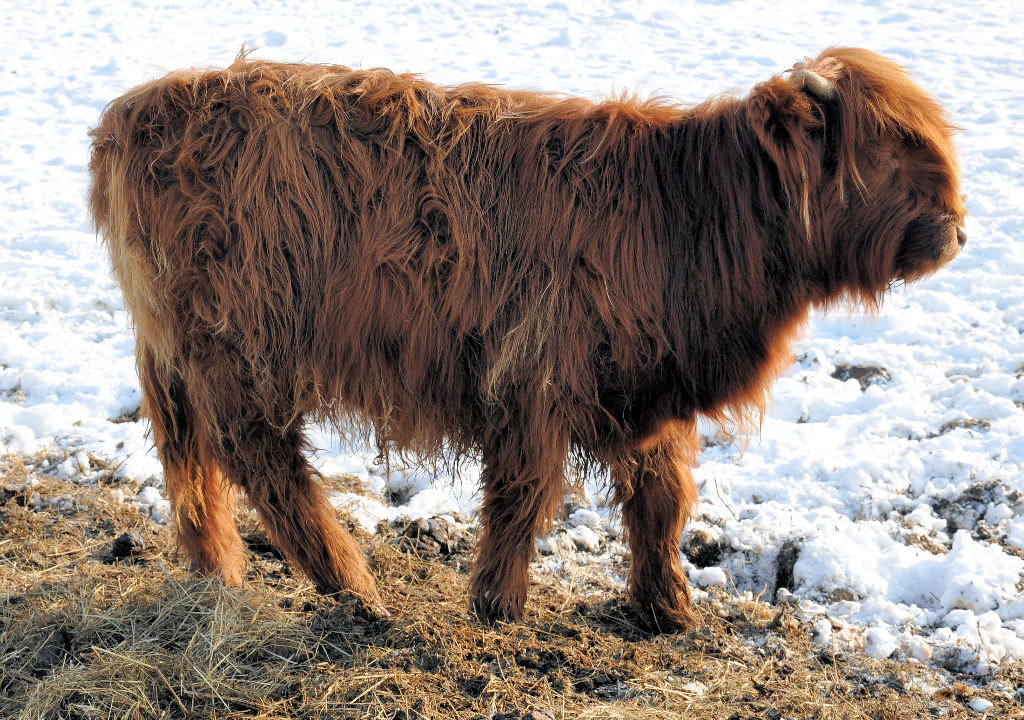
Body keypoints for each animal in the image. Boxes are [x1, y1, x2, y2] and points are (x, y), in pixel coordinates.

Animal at [92, 46, 962, 630]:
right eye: (888, 148)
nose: (956, 230)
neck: (686, 211)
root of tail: (131, 113)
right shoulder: (535, 378)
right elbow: (523, 496)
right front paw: (497, 604)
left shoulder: (644, 393)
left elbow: (661, 502)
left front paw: (668, 609)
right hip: (242, 351)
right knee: (262, 463)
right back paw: (354, 588)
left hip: (178, 354)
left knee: (187, 454)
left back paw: (217, 572)